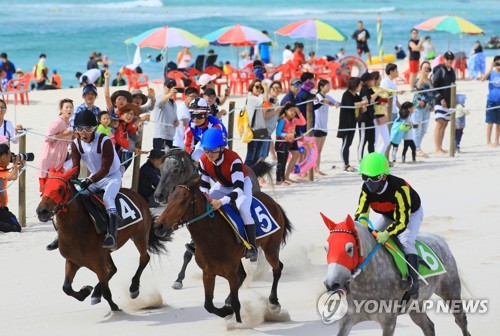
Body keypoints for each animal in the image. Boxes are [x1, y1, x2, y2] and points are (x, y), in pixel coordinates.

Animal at [36, 167, 170, 312]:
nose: (41, 211)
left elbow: (106, 290)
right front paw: (86, 291)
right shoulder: (72, 261)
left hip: (140, 235)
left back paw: (133, 288)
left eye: (60, 188)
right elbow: (66, 288)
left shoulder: (98, 262)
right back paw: (96, 293)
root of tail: (138, 196)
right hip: (109, 252)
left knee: (144, 258)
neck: (76, 229)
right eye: (44, 187)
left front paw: (114, 307)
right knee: (113, 269)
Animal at [154, 176, 292, 322]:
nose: (159, 226)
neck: (212, 236)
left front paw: (237, 323)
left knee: (277, 268)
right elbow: (208, 305)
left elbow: (236, 304)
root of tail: (273, 202)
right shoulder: (208, 272)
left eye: (183, 201)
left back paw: (274, 302)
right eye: (169, 199)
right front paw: (226, 309)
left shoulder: (230, 272)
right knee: (244, 275)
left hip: (271, 247)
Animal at [156, 148, 274, 288]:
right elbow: (189, 252)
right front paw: (179, 279)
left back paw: (258, 267)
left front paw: (179, 279)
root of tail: (250, 169)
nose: (158, 195)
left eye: (175, 170)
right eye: (160, 169)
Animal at [322, 215, 470, 336]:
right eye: (326, 248)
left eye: (349, 248)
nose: (331, 284)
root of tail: (441, 241)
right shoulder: (349, 317)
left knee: (461, 319)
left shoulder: (388, 320)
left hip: (450, 290)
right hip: (415, 306)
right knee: (428, 326)